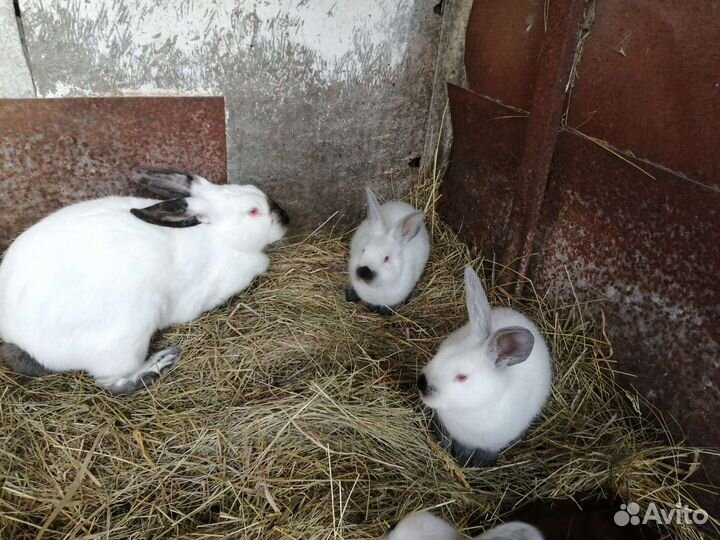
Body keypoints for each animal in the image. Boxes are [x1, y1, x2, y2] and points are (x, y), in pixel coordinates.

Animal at [0, 168, 289, 394]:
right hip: (124, 338)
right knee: (114, 384)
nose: (286, 220)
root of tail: (19, 338)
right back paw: (162, 361)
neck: (219, 237)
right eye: (253, 211)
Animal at [417, 266, 552, 466]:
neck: (471, 408)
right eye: (441, 352)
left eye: (462, 377)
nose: (421, 383)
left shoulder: (493, 444)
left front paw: (479, 463)